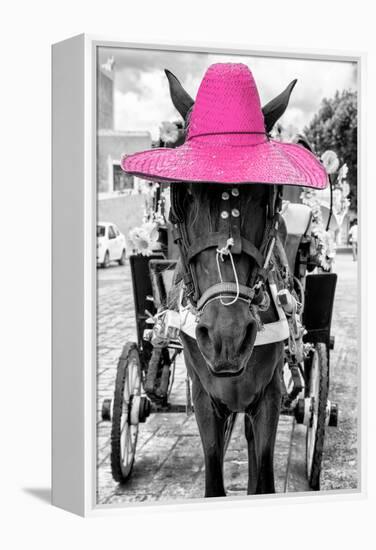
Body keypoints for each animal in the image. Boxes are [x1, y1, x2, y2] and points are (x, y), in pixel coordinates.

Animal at [164, 70, 296, 500]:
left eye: (267, 194)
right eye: (181, 193)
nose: (228, 336)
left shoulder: (269, 395)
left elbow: (263, 479)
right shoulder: (204, 397)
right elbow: (213, 480)